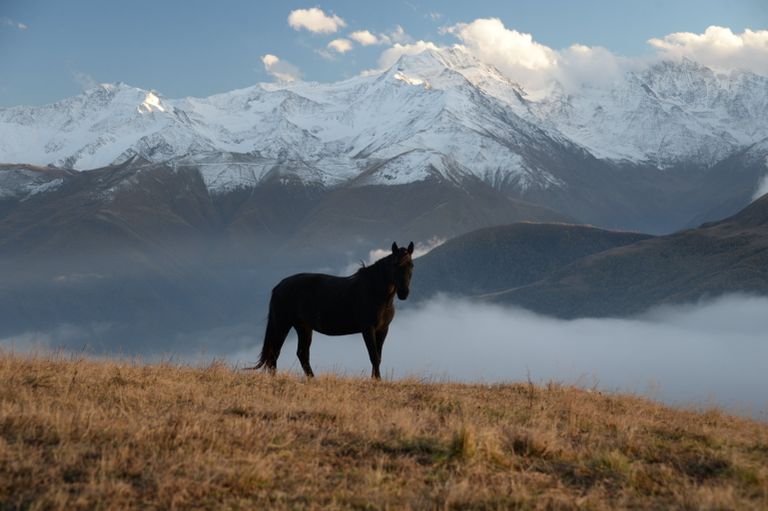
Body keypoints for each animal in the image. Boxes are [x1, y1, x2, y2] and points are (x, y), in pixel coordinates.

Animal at [248, 241, 414, 379]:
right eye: (395, 265)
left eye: (411, 265)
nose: (404, 293)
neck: (375, 292)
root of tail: (279, 286)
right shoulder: (368, 330)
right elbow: (374, 356)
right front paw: (376, 381)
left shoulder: (383, 330)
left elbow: (378, 357)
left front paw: (376, 380)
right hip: (282, 324)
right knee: (274, 353)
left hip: (303, 327)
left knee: (302, 354)